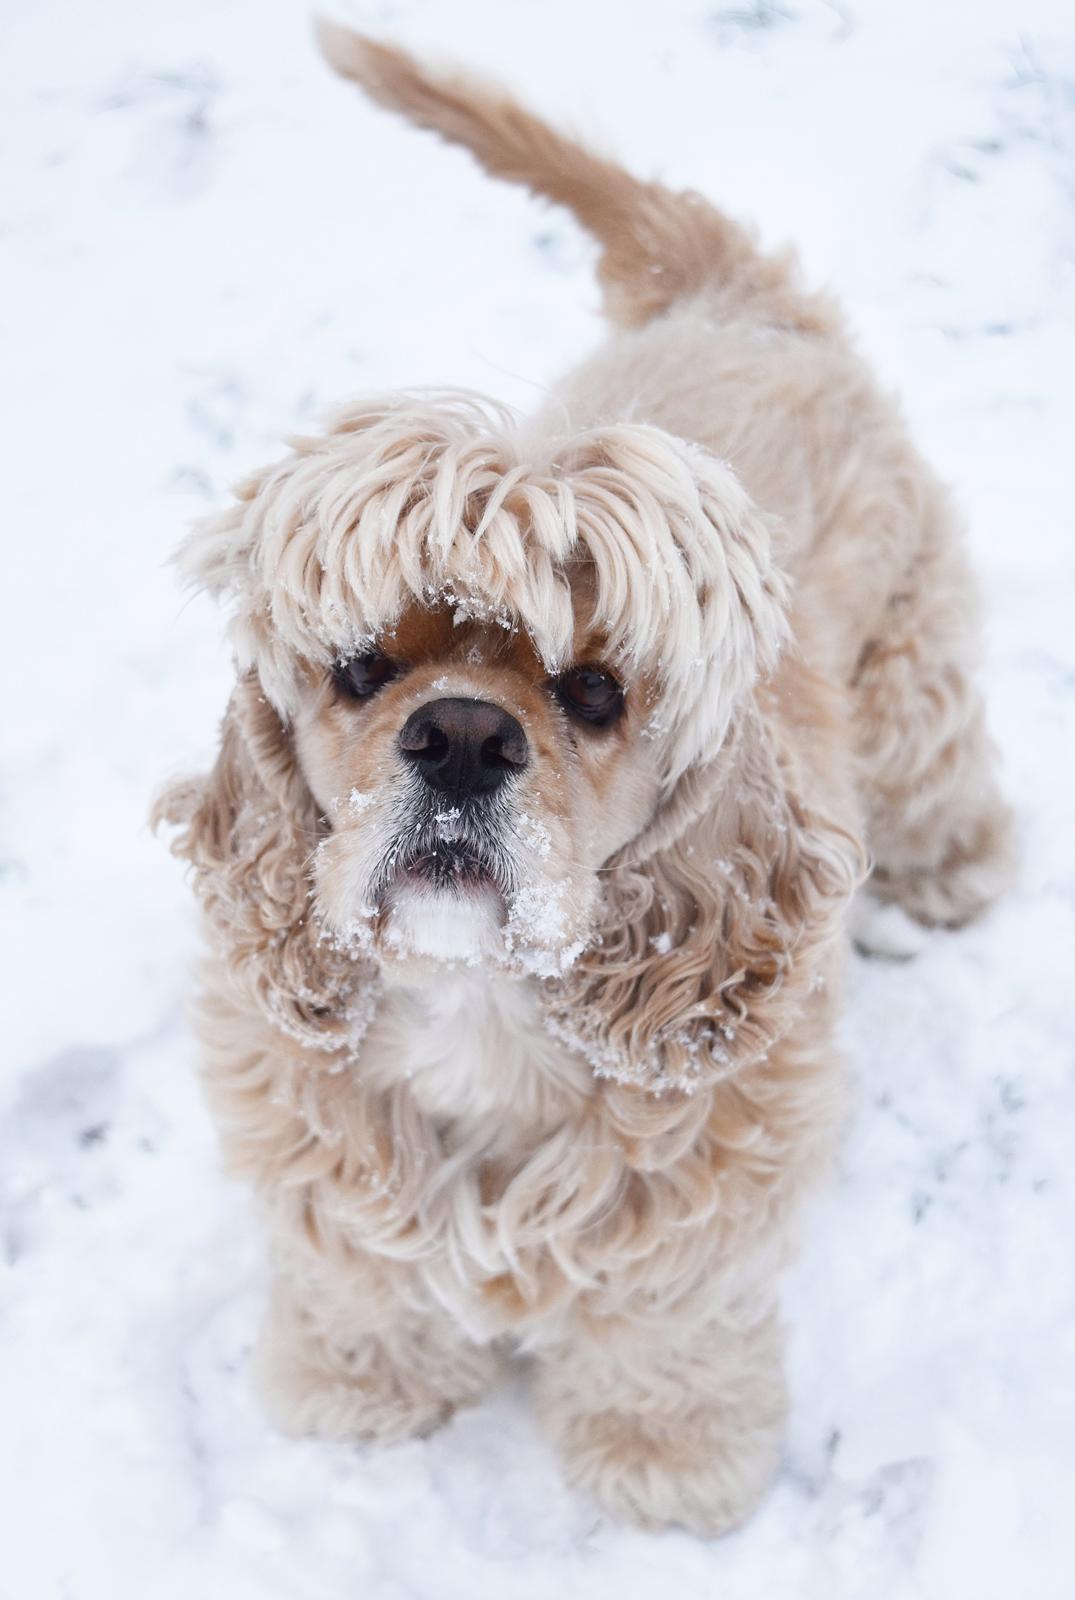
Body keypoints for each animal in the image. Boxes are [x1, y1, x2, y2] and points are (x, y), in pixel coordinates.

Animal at [155, 31, 1011, 1536]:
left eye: (597, 692)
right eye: (364, 667)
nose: (460, 736)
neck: (480, 1011)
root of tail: (736, 295)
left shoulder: (703, 1190)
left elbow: (664, 1326)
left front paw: (663, 1463)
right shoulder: (314, 1134)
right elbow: (355, 1271)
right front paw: (360, 1392)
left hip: (910, 672)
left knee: (943, 765)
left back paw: (943, 877)